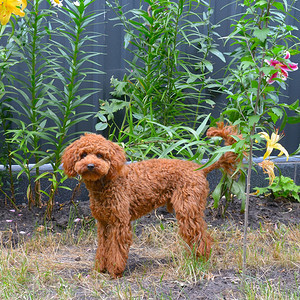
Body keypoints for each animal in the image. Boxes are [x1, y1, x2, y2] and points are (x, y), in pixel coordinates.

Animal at [61, 123, 241, 278]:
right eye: (83, 155)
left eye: (100, 155)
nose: (90, 165)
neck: (107, 183)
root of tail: (200, 169)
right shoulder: (103, 223)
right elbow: (103, 247)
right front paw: (101, 268)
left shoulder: (120, 223)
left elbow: (117, 248)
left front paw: (115, 271)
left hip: (188, 210)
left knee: (201, 237)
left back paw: (200, 260)